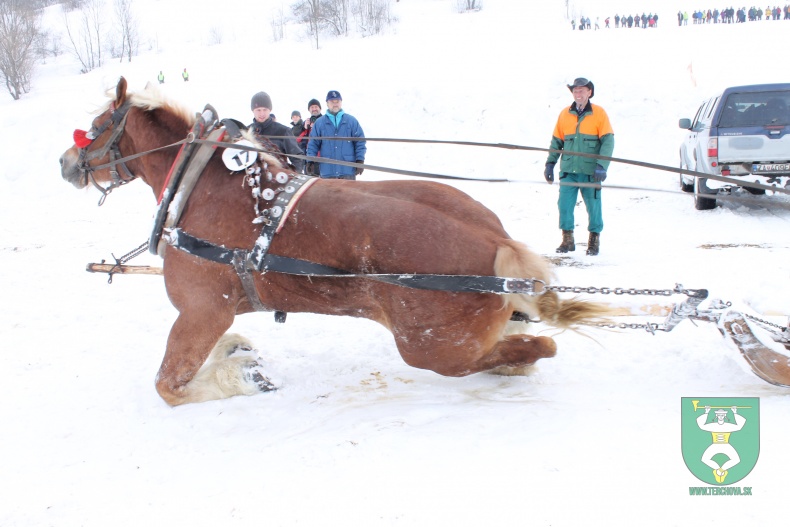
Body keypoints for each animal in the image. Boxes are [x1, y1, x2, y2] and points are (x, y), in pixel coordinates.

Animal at [58, 77, 612, 408]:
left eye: (99, 127)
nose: (66, 161)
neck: (201, 188)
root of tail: (494, 238)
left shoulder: (200, 312)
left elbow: (170, 386)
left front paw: (240, 378)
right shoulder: (214, 313)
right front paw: (239, 353)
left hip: (433, 349)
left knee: (538, 346)